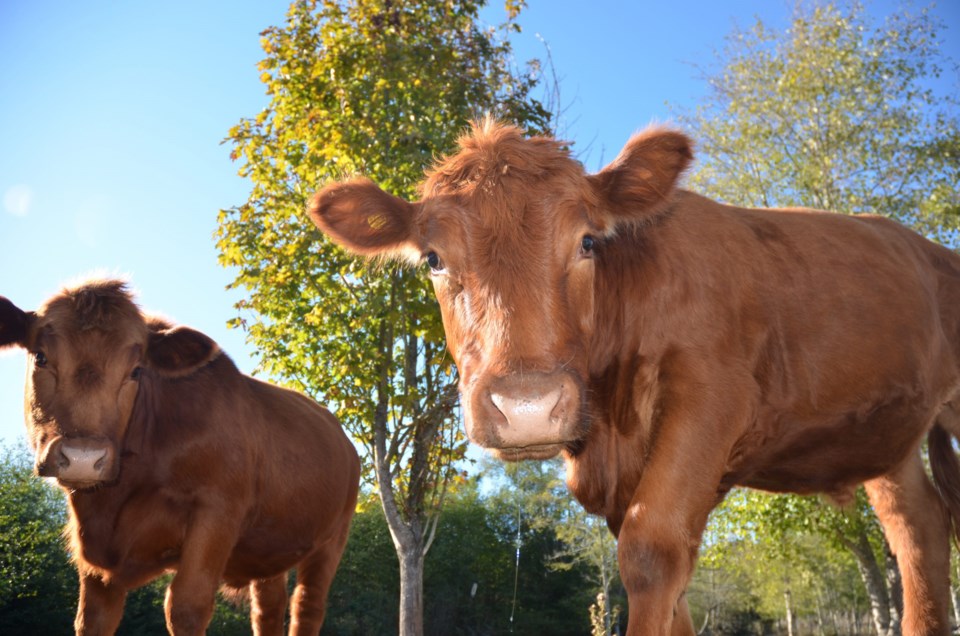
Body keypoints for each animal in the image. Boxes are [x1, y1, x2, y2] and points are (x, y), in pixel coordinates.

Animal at [0, 280, 358, 636]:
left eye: (136, 371)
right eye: (40, 357)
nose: (84, 457)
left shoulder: (217, 511)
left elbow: (186, 606)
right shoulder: (94, 559)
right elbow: (92, 618)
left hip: (332, 540)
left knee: (307, 606)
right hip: (269, 548)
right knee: (268, 609)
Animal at [312, 120, 960, 636]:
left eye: (587, 241)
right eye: (433, 258)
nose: (527, 406)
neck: (609, 424)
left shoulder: (711, 397)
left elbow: (652, 552)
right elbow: (671, 580)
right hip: (891, 439)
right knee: (919, 530)